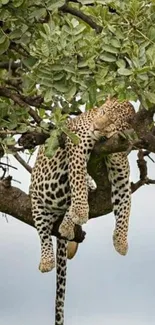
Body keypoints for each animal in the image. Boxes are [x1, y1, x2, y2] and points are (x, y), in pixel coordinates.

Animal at [29, 97, 135, 324]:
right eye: (101, 112)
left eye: (112, 121)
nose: (96, 127)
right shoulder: (77, 142)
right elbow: (77, 176)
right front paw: (80, 210)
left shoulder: (121, 174)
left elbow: (125, 208)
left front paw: (121, 241)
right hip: (37, 202)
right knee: (43, 234)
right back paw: (47, 261)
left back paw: (68, 229)